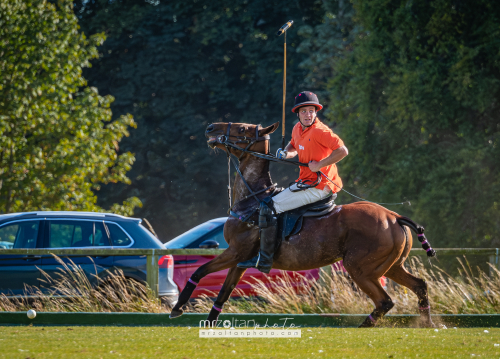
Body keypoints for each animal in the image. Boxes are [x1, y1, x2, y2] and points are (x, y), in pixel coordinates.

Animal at [170, 121, 436, 330]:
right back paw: (429, 323)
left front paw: (177, 309)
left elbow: (199, 271)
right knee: (419, 285)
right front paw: (208, 323)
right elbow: (224, 292)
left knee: (385, 301)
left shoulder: (235, 252)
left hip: (359, 268)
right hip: (389, 266)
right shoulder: (241, 259)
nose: (210, 128)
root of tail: (394, 217)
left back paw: (365, 325)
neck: (252, 199)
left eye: (243, 128)